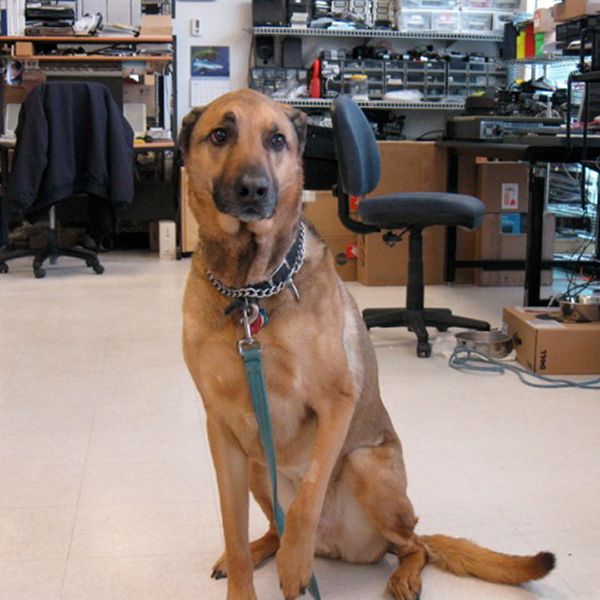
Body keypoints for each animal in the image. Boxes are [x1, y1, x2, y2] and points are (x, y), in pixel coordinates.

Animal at [179, 89, 555, 600]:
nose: (253, 190)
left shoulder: (336, 404)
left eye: (277, 140)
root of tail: (337, 547)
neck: (250, 290)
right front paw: (244, 576)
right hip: (259, 466)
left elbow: (308, 498)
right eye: (220, 134)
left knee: (415, 546)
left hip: (365, 464)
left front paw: (294, 567)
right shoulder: (222, 430)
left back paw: (396, 575)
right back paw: (268, 548)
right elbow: (232, 532)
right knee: (276, 528)